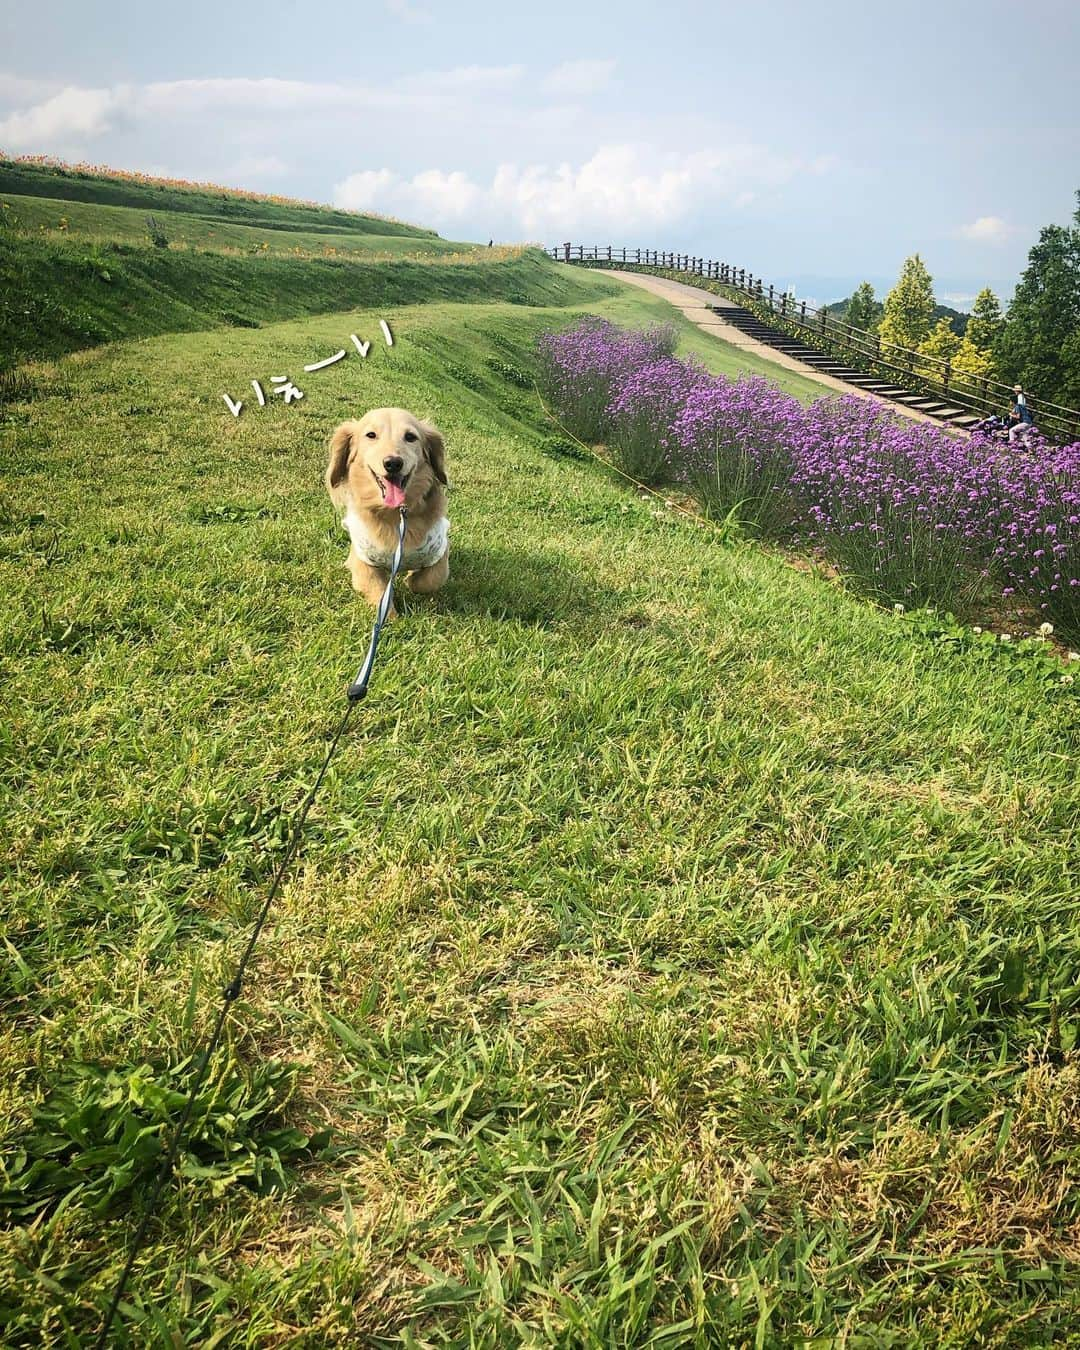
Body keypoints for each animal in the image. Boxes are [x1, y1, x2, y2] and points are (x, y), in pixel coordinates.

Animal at [326, 405, 448, 618]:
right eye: (371, 435)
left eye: (410, 437)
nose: (393, 463)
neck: (395, 515)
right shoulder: (364, 559)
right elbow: (377, 590)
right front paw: (390, 617)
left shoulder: (440, 550)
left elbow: (428, 580)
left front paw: (411, 579)